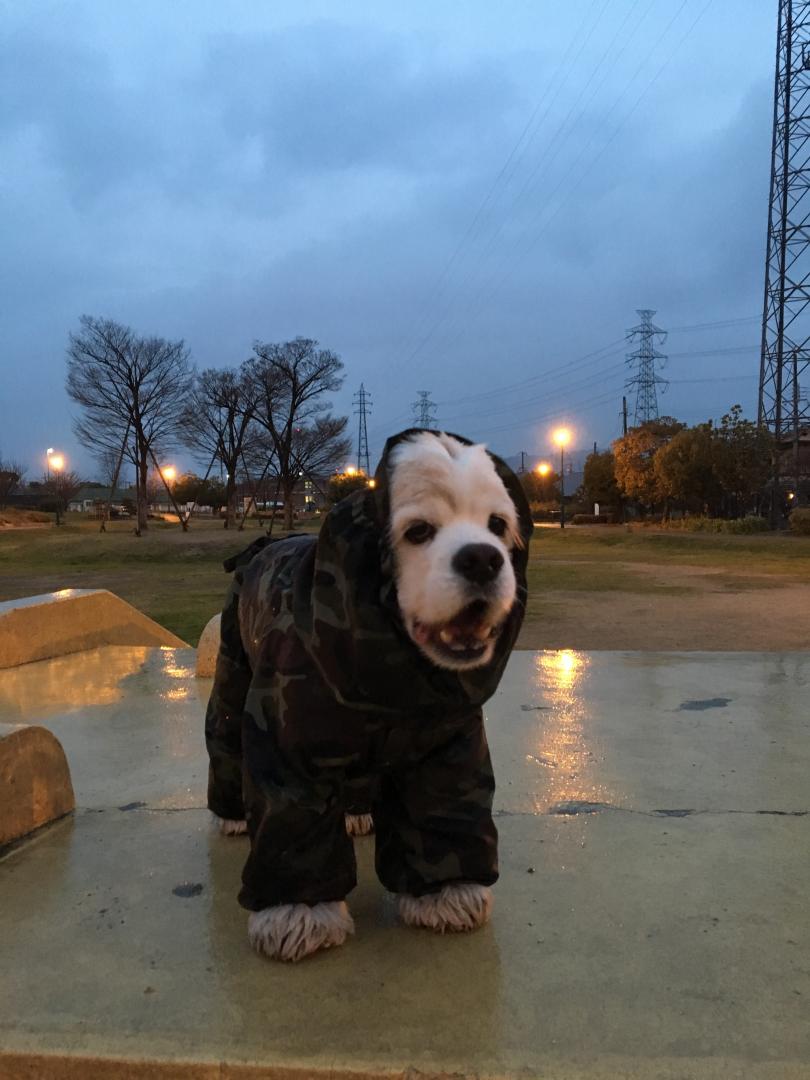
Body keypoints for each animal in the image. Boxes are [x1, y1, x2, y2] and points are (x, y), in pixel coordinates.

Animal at [204, 429, 533, 963]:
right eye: (418, 531)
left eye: (498, 526)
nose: (484, 559)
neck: (394, 686)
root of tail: (265, 544)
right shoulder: (287, 739)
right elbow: (293, 823)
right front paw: (298, 914)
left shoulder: (448, 744)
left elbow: (441, 812)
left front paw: (447, 893)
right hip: (233, 668)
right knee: (226, 732)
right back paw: (232, 815)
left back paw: (358, 813)